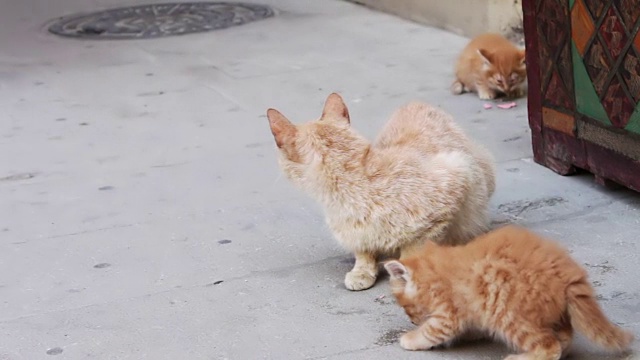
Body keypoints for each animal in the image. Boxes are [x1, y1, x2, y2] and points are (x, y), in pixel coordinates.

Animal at [264, 94, 496, 292]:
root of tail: (416, 103)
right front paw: (363, 271)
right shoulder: (357, 234)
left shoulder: (456, 175)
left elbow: (413, 247)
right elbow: (363, 249)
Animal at [382, 225, 632, 358]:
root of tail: (568, 272)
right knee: (563, 339)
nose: (412, 321)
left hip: (509, 313)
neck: (437, 271)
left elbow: (432, 330)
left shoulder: (447, 313)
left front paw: (411, 338)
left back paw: (519, 358)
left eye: (405, 308)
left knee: (550, 348)